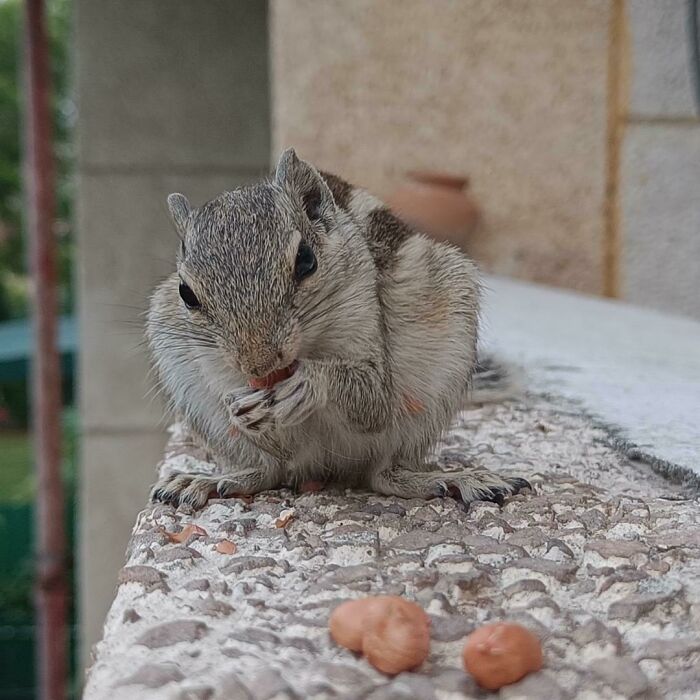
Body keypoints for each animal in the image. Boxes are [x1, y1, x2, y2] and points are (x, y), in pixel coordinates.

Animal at [147, 148, 529, 509]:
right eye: (186, 293)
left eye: (306, 260)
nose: (259, 364)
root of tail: (326, 468)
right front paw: (239, 411)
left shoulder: (365, 322)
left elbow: (373, 398)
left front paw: (310, 383)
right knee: (272, 469)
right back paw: (209, 480)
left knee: (385, 475)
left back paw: (450, 479)